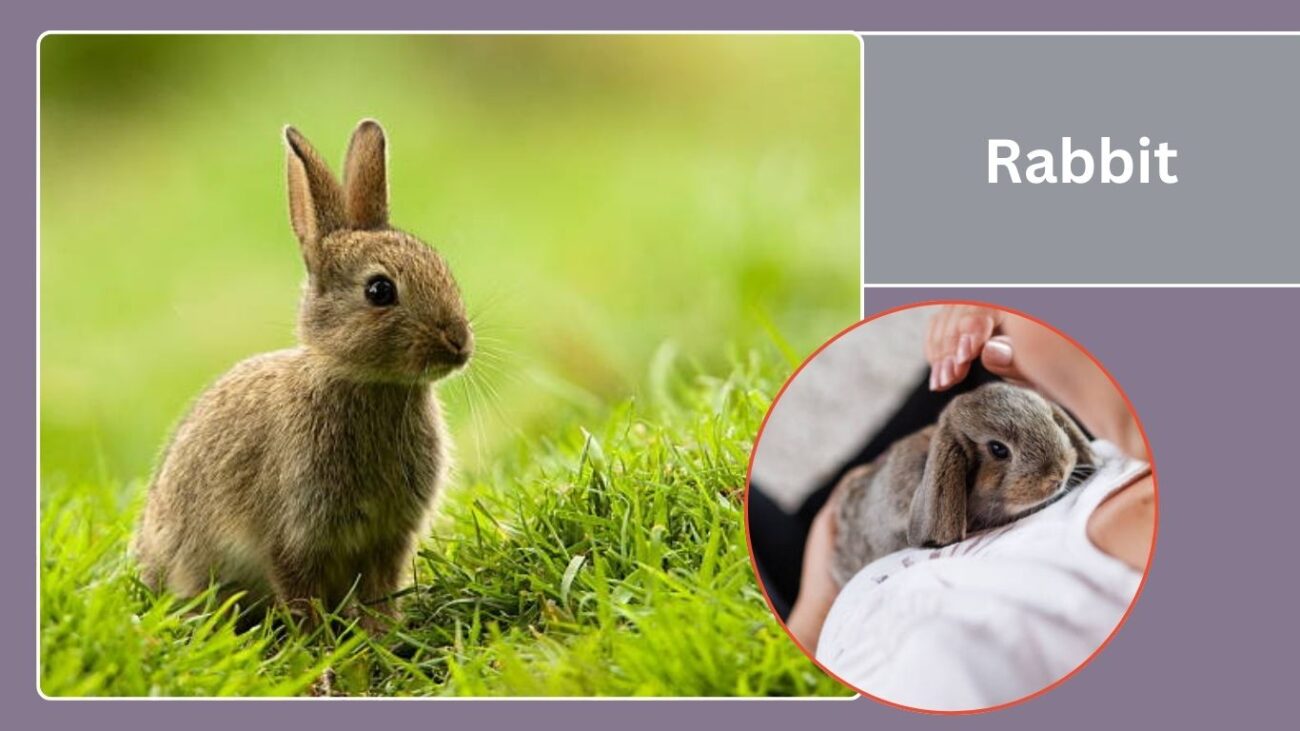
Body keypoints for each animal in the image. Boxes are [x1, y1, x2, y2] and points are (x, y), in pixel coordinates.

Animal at [131, 119, 472, 628]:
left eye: (442, 268)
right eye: (380, 290)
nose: (459, 343)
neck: (367, 383)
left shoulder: (388, 538)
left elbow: (380, 593)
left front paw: (385, 639)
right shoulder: (293, 534)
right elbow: (301, 597)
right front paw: (321, 649)